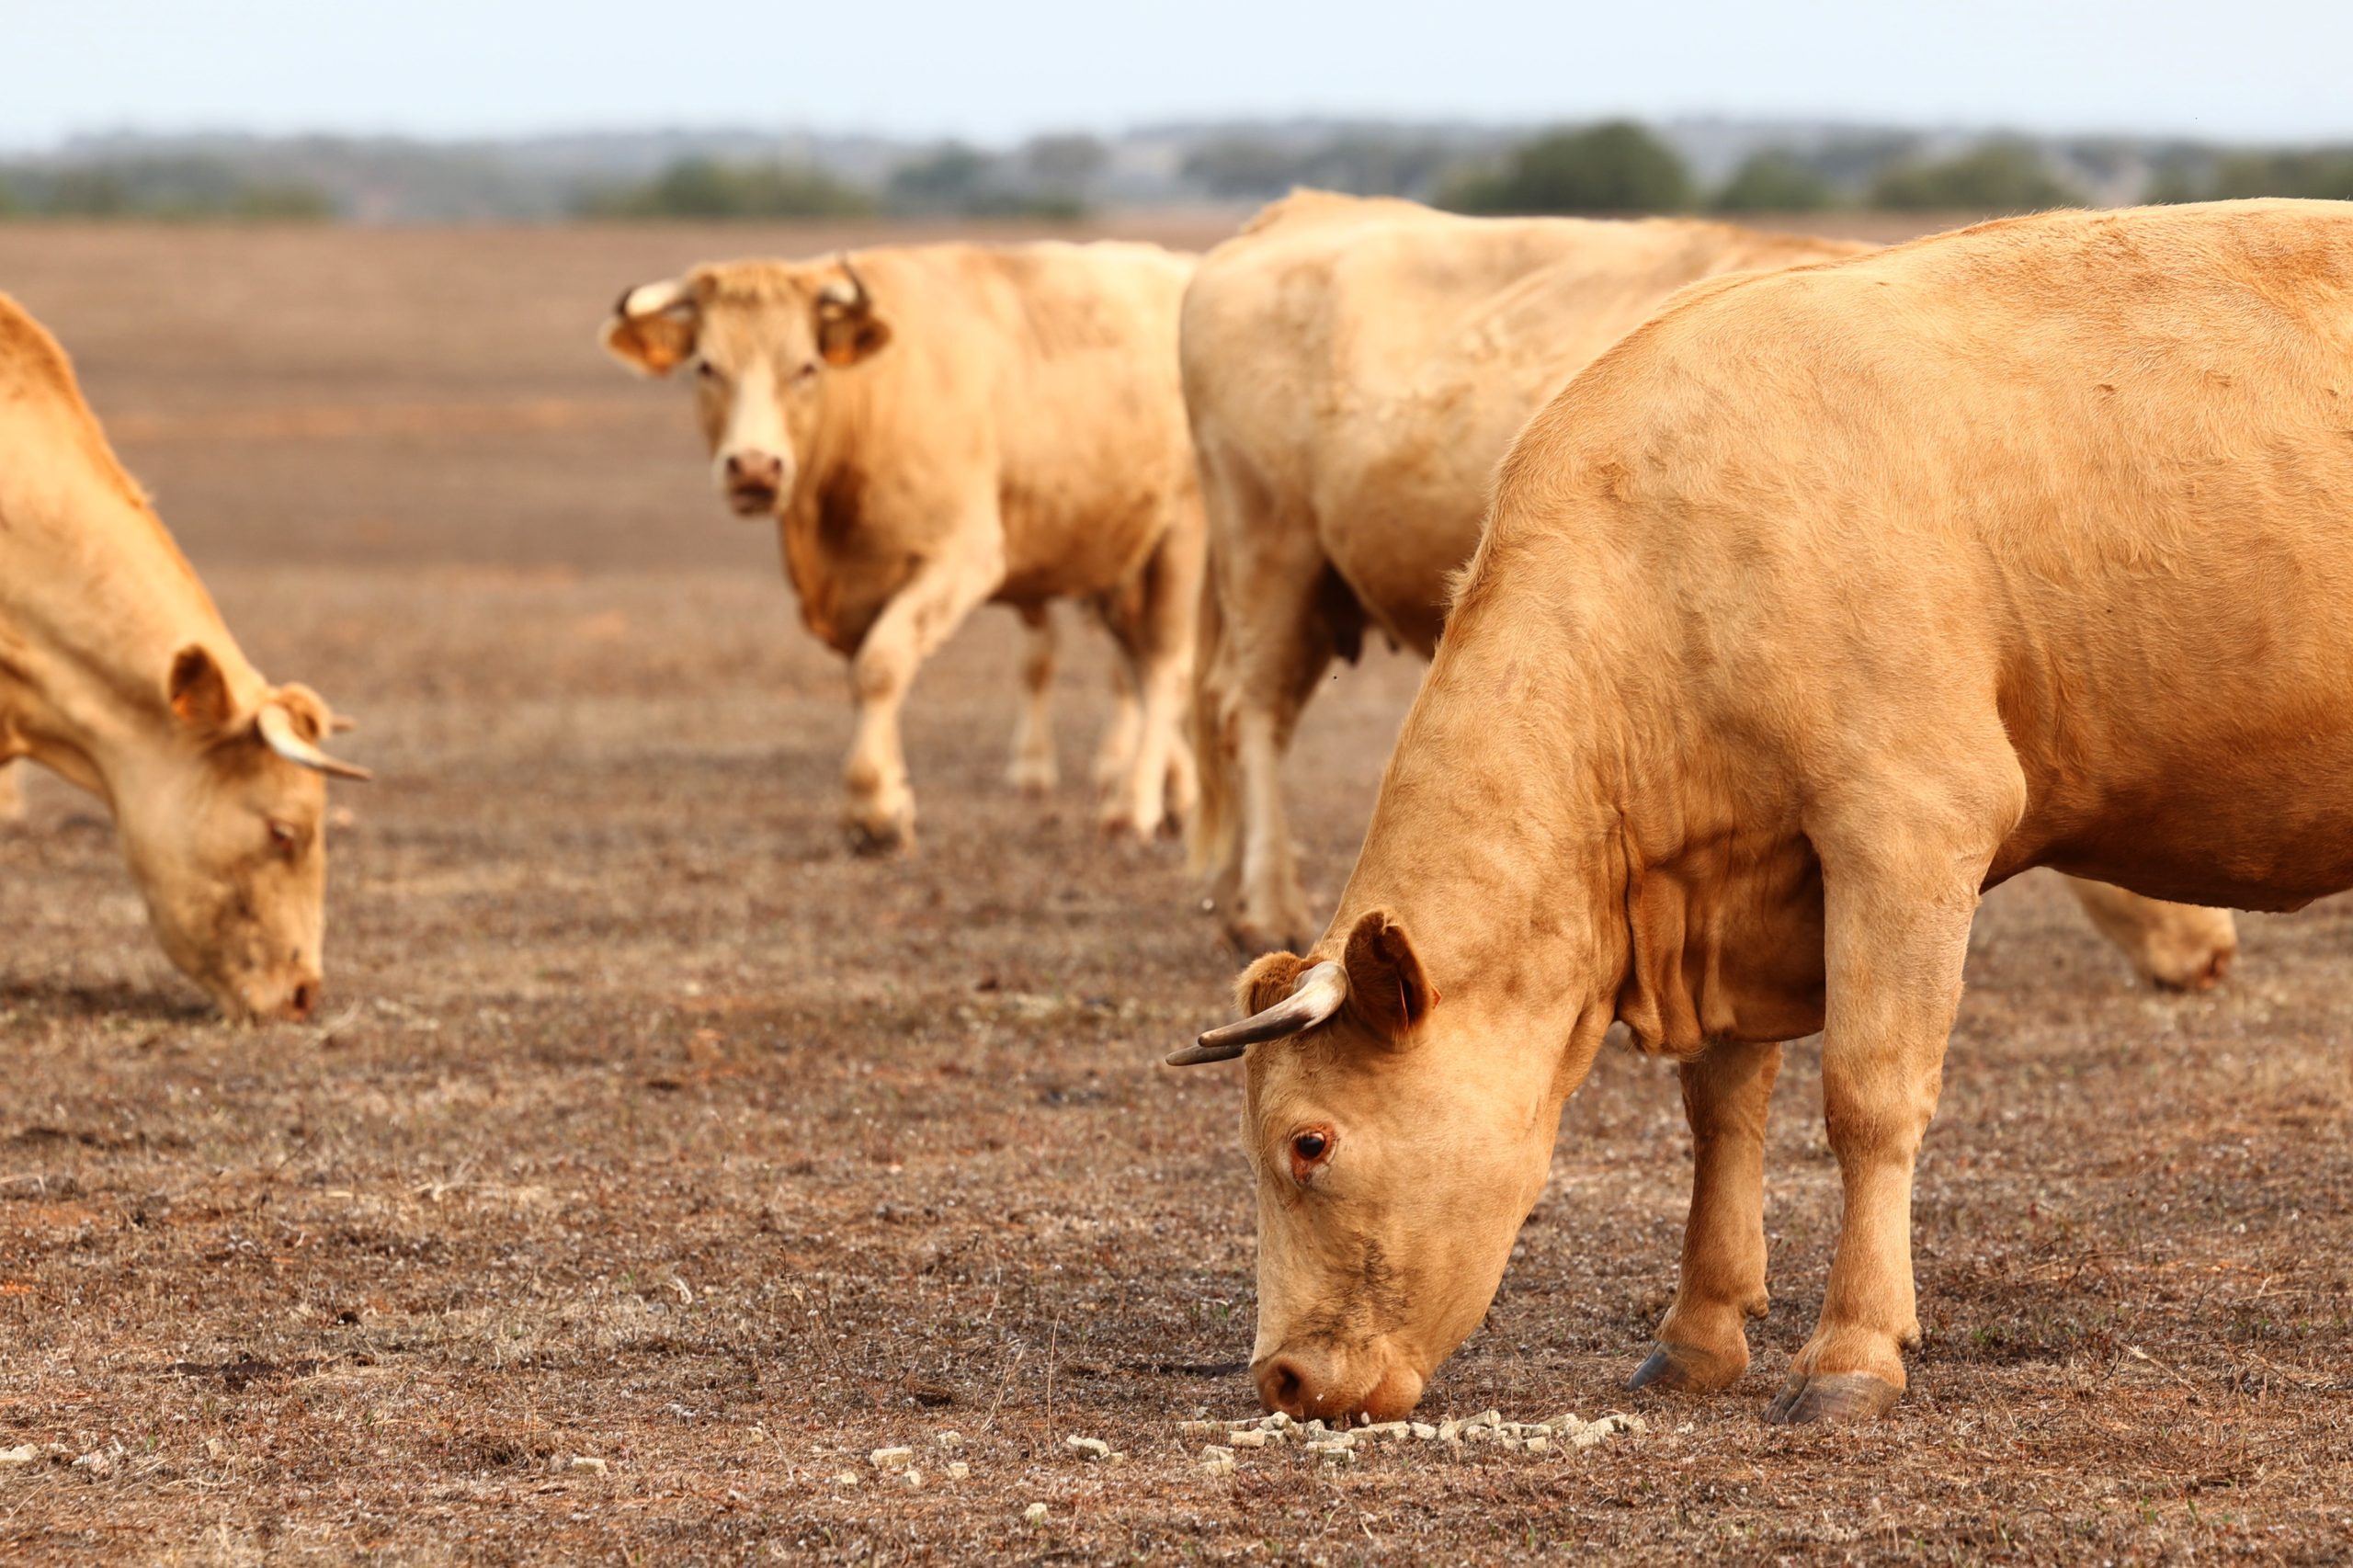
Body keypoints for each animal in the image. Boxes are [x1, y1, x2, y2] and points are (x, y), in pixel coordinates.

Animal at [601, 244, 1203, 851]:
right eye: (706, 367)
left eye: (806, 367)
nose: (753, 468)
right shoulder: (857, 589)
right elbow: (868, 676)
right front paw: (895, 802)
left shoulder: (961, 558)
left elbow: (881, 668)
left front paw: (873, 810)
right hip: (1118, 565)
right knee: (1139, 666)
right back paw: (1180, 796)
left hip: (1182, 540)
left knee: (1166, 669)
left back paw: (1134, 805)